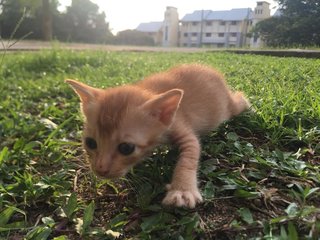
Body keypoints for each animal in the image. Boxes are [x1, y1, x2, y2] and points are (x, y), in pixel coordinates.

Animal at [65, 63, 250, 208]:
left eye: (126, 148)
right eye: (90, 143)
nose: (100, 169)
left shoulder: (182, 128)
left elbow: (189, 158)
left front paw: (182, 190)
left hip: (228, 108)